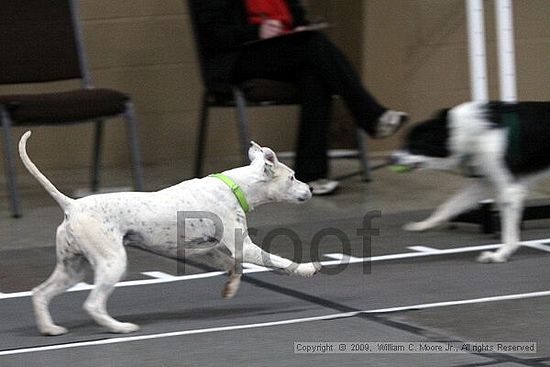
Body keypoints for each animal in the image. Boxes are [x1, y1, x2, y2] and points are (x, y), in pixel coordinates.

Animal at [20, 133, 324, 340]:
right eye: (293, 176)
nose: (310, 188)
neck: (235, 186)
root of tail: (71, 205)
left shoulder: (208, 250)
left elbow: (233, 267)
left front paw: (229, 288)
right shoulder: (245, 248)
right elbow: (281, 262)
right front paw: (308, 269)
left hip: (72, 268)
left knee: (40, 293)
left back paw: (49, 328)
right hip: (112, 263)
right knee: (93, 304)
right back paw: (120, 327)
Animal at [392, 102, 550, 264]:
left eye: (415, 143)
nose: (392, 159)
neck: (470, 132)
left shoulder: (510, 189)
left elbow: (509, 232)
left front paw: (499, 255)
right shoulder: (485, 182)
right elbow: (448, 205)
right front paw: (423, 225)